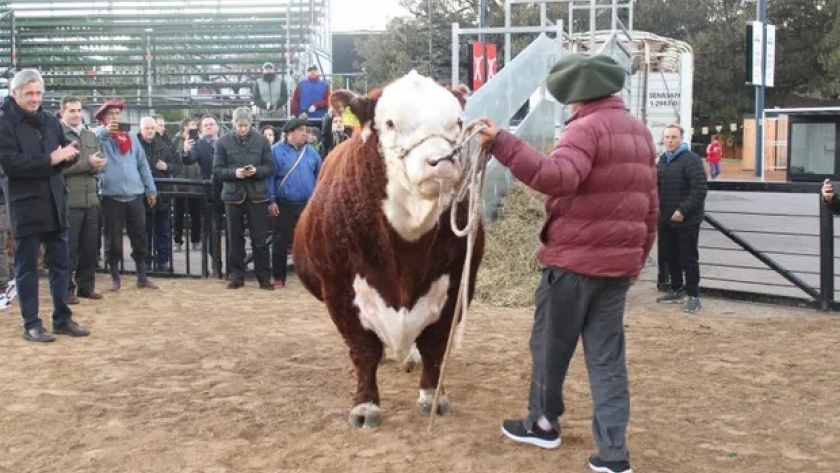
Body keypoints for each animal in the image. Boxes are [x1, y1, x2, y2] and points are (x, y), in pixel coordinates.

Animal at [292, 71, 486, 428]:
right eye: (391, 122)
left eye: (458, 121)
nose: (441, 161)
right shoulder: (338, 289)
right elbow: (363, 350)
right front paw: (365, 405)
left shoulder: (455, 286)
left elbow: (435, 347)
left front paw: (432, 398)